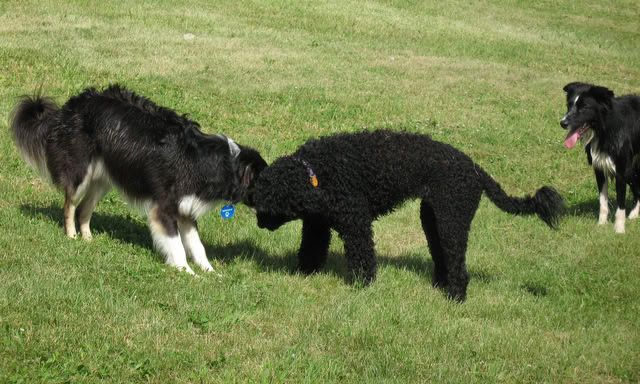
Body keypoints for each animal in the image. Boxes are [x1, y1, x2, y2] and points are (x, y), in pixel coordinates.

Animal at [10, 85, 264, 274]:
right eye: (265, 182)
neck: (214, 163)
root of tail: (70, 106)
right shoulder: (164, 207)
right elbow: (177, 245)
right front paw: (186, 271)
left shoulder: (186, 210)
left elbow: (197, 246)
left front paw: (211, 272)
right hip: (80, 172)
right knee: (70, 205)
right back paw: (72, 236)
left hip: (103, 180)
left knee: (83, 209)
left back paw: (89, 239)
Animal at [252, 130, 564, 302]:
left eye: (267, 208)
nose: (259, 224)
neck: (317, 172)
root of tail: (476, 170)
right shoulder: (317, 224)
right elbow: (311, 249)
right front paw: (304, 274)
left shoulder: (356, 223)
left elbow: (363, 257)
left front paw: (362, 285)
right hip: (433, 219)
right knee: (443, 256)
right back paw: (440, 286)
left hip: (453, 219)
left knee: (458, 264)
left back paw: (456, 297)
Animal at [560, 83, 640, 234]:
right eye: (569, 105)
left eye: (584, 107)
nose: (563, 123)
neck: (605, 129)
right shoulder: (599, 169)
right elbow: (603, 201)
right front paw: (601, 225)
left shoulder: (621, 171)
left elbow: (620, 204)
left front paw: (619, 230)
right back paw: (634, 214)